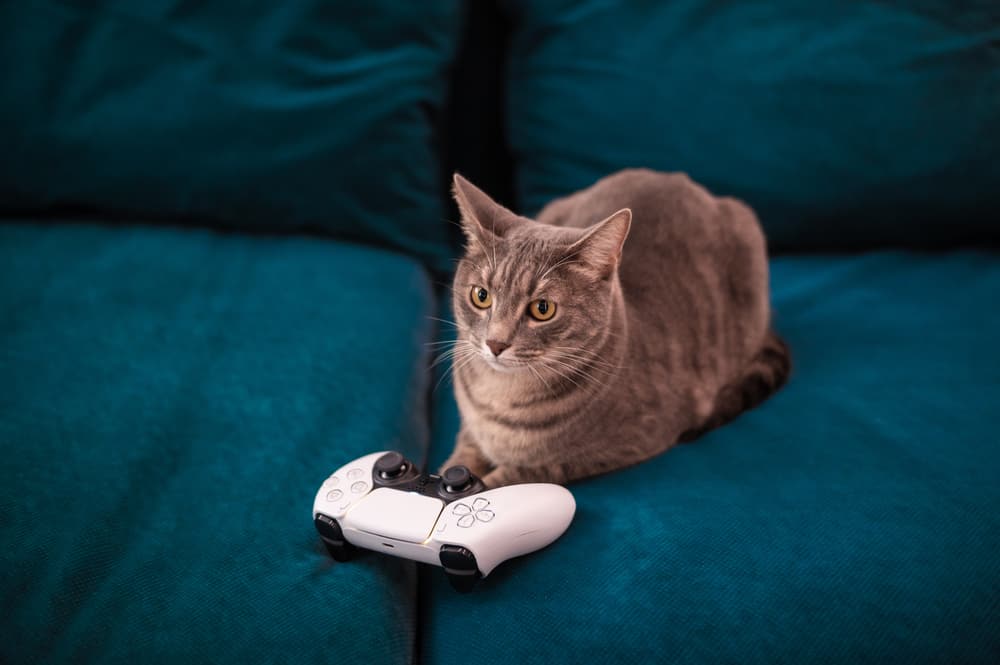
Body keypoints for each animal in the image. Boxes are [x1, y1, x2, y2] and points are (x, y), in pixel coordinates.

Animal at [442, 169, 792, 486]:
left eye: (542, 309)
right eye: (481, 296)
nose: (495, 343)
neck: (499, 395)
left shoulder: (625, 443)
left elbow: (522, 473)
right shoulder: (470, 430)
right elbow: (459, 457)